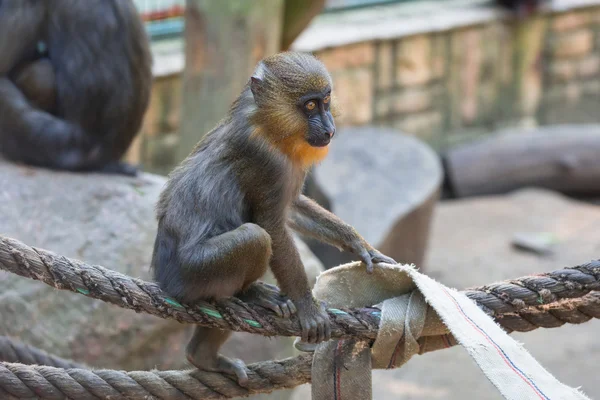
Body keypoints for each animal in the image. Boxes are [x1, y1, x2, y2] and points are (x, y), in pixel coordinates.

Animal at [151, 51, 394, 386]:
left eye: (325, 100)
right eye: (309, 106)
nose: (329, 129)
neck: (271, 126)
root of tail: (162, 276)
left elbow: (291, 209)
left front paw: (359, 245)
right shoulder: (263, 159)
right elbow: (272, 226)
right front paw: (308, 308)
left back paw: (204, 354)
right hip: (191, 273)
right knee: (254, 237)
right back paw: (244, 298)